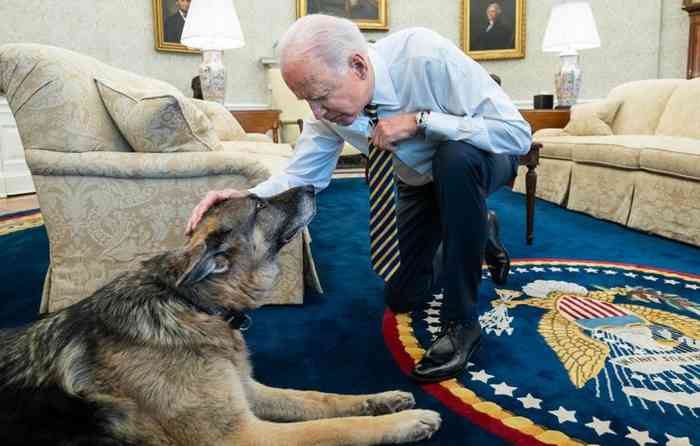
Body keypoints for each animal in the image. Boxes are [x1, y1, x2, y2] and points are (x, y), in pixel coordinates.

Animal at [0, 186, 440, 446]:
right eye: (260, 205)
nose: (313, 186)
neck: (192, 304)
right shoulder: (243, 436)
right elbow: (333, 427)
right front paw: (404, 423)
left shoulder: (249, 392)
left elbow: (321, 398)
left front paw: (381, 400)